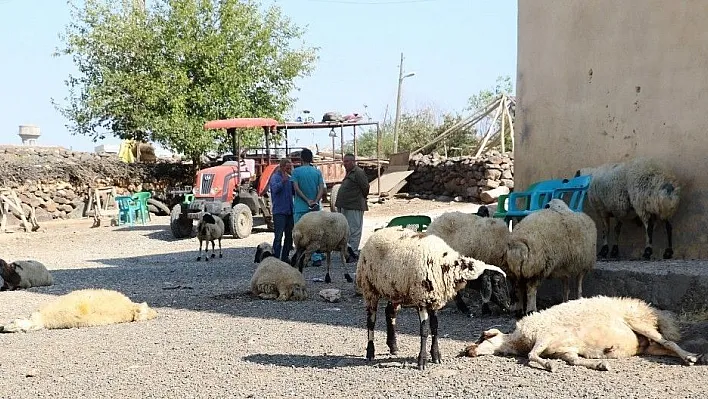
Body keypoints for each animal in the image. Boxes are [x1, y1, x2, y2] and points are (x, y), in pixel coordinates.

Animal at [356, 227, 506, 370]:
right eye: (497, 283)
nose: (508, 306)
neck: (447, 265)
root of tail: (377, 233)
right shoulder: (422, 299)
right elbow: (424, 331)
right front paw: (422, 360)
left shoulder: (435, 300)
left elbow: (435, 327)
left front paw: (436, 356)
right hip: (369, 288)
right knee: (371, 321)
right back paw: (370, 352)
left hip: (395, 290)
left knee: (389, 313)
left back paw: (393, 346)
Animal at [462, 296, 700, 374]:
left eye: (483, 338)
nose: (467, 350)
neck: (519, 340)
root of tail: (648, 310)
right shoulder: (565, 350)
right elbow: (574, 361)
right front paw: (599, 365)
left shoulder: (545, 335)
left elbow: (532, 355)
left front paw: (549, 366)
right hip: (648, 345)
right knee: (665, 347)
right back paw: (690, 357)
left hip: (638, 322)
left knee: (668, 341)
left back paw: (690, 357)